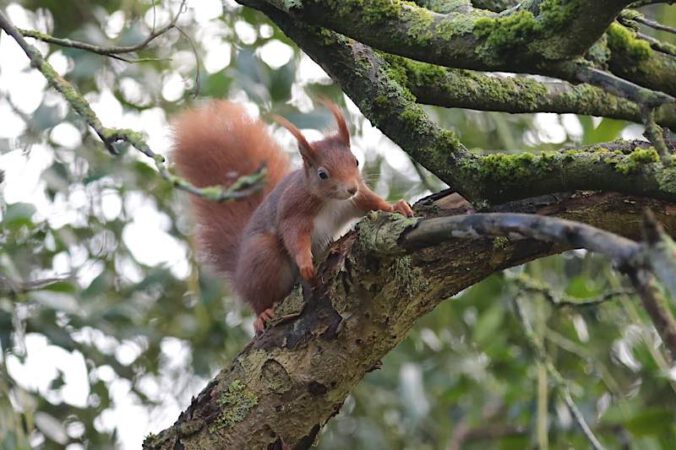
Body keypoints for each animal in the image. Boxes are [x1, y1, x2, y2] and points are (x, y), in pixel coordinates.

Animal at [172, 102, 412, 334]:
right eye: (322, 174)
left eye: (356, 161)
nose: (350, 188)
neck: (331, 201)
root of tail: (239, 271)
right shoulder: (294, 211)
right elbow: (295, 237)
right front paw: (305, 264)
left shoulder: (357, 198)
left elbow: (373, 202)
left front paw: (397, 206)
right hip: (263, 256)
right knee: (259, 297)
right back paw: (262, 314)